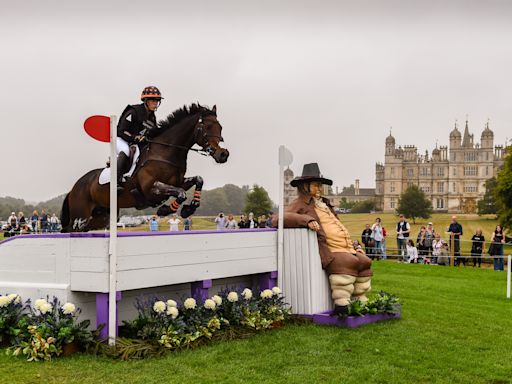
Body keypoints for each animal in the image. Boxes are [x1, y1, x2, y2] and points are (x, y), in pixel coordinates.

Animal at [59, 103, 228, 232]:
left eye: (220, 127)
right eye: (207, 127)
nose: (223, 154)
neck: (165, 153)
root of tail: (74, 187)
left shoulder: (178, 182)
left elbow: (198, 180)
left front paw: (189, 209)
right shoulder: (151, 189)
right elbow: (180, 193)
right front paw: (165, 210)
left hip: (101, 216)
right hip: (80, 217)